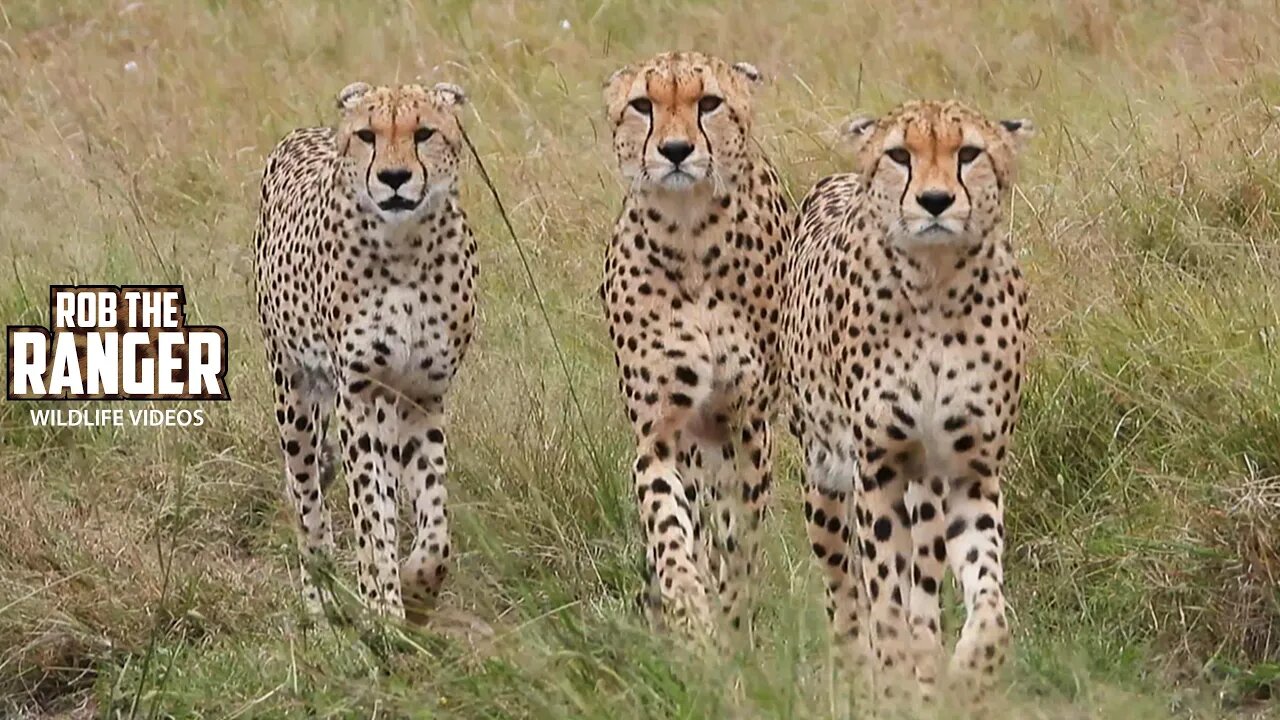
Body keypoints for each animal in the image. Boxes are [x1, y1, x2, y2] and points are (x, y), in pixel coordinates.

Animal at [254, 78, 481, 617]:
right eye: (366, 135)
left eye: (424, 133)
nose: (394, 178)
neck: (405, 248)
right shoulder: (359, 395)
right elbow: (371, 518)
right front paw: (382, 607)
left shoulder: (422, 393)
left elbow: (434, 522)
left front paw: (417, 588)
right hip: (293, 392)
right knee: (307, 497)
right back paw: (318, 599)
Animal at [599, 51, 788, 632]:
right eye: (643, 105)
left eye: (708, 103)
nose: (676, 150)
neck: (690, 236)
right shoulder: (659, 435)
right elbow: (669, 527)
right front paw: (691, 612)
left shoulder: (746, 427)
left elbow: (739, 538)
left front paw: (732, 620)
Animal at [778, 96, 1039, 702]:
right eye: (900, 155)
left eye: (969, 153)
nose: (935, 201)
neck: (936, 286)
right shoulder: (878, 467)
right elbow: (882, 595)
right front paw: (892, 677)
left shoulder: (970, 471)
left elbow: (989, 601)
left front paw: (967, 671)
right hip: (824, 481)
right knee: (845, 592)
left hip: (926, 491)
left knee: (921, 584)